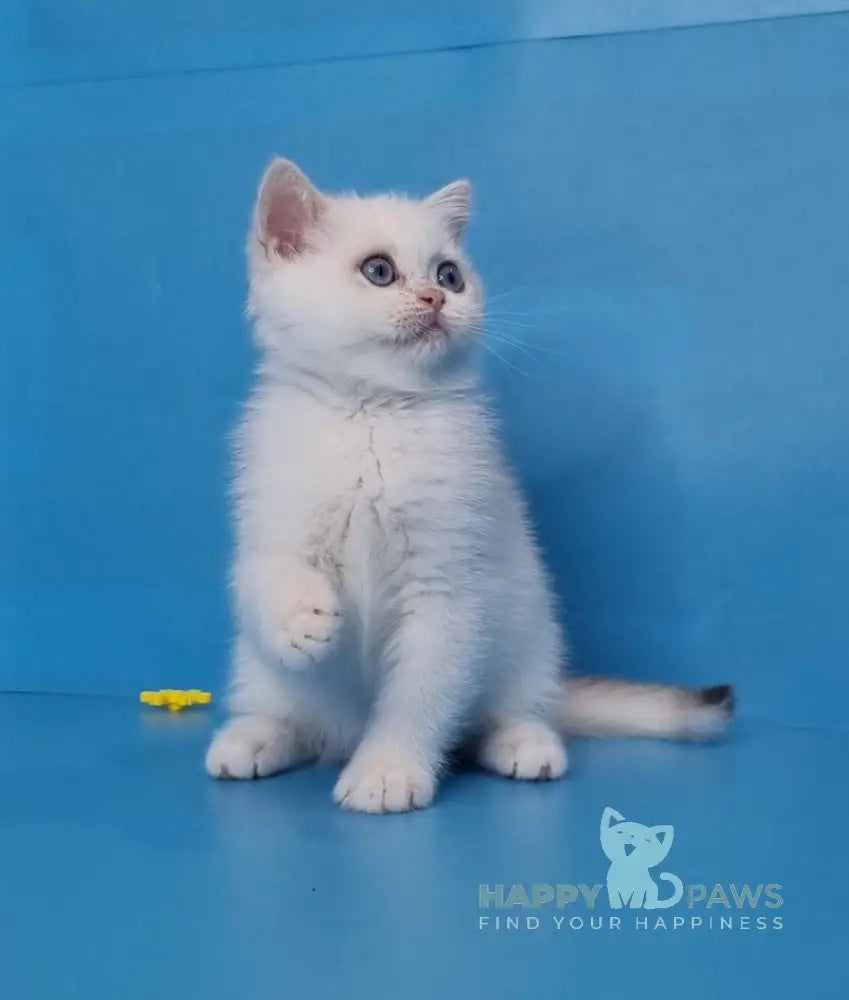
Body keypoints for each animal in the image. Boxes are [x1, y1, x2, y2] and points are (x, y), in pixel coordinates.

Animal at [202, 158, 732, 812]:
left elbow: (417, 698)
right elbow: (264, 577)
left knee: (506, 711)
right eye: (379, 271)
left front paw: (388, 770)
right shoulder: (272, 524)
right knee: (294, 716)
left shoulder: (447, 590)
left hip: (529, 636)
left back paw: (523, 743)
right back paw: (254, 737)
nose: (435, 298)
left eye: (450, 275)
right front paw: (304, 617)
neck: (373, 413)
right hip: (256, 669)